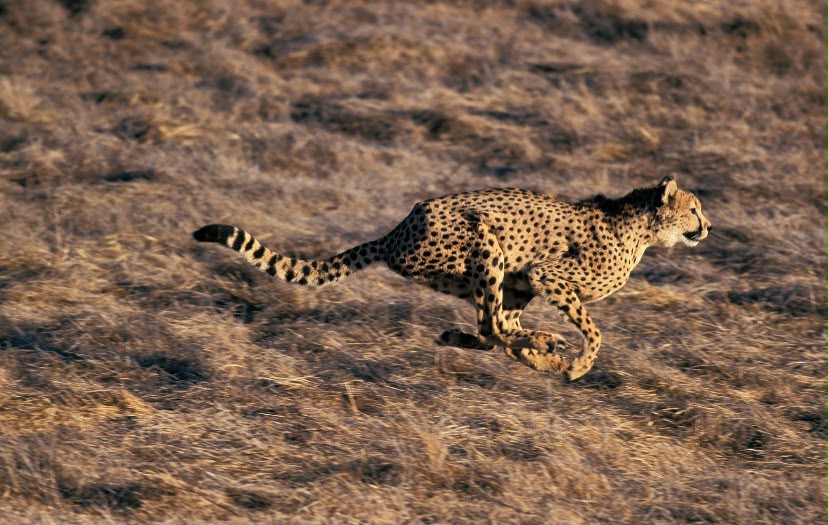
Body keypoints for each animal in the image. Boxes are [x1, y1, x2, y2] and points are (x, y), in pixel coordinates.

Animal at [193, 176, 710, 381]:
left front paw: (556, 359)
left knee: (492, 329)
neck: (642, 229)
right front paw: (580, 365)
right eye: (694, 209)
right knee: (493, 326)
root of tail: (397, 230)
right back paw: (544, 347)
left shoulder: (528, 281)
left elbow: (509, 331)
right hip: (486, 245)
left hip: (501, 278)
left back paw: (513, 347)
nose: (708, 227)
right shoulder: (546, 274)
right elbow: (594, 330)